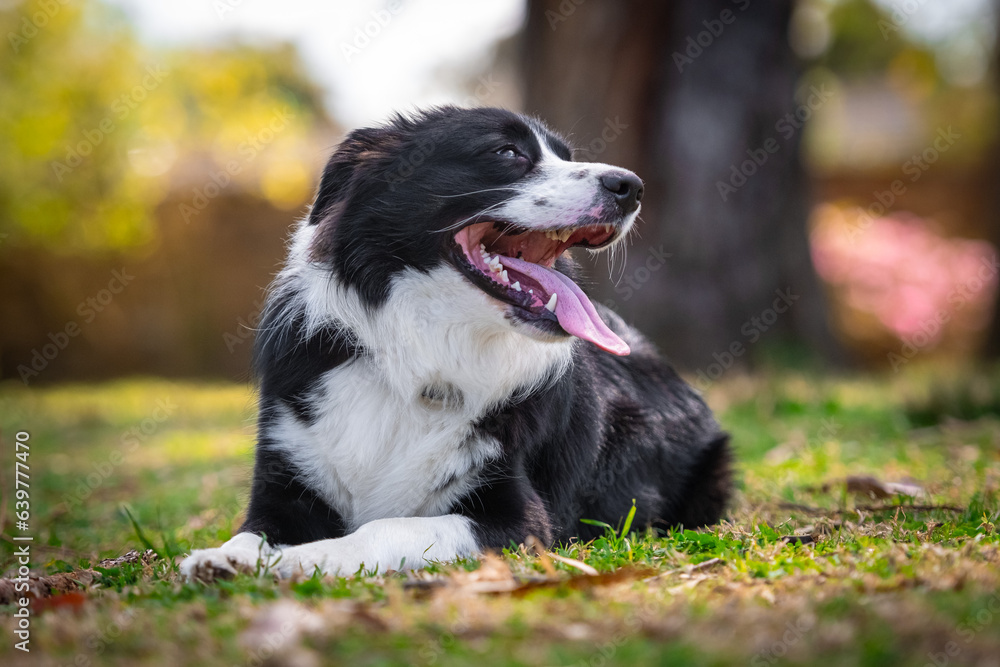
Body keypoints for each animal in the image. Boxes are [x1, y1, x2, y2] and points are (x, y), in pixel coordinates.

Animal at [180, 107, 732, 580]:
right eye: (507, 152)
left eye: (566, 156)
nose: (631, 187)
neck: (421, 353)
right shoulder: (284, 478)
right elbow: (251, 532)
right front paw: (222, 557)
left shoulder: (522, 520)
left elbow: (385, 527)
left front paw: (306, 558)